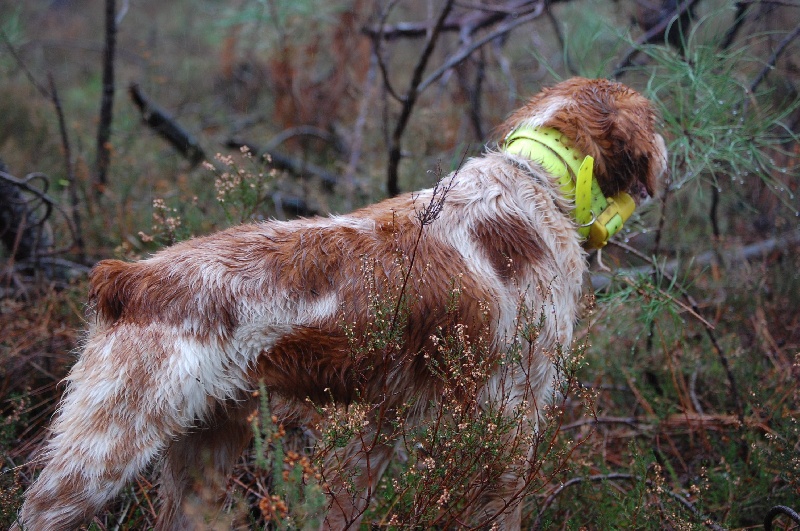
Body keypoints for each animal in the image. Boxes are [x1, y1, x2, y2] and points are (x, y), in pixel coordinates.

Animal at [20, 77, 668, 528]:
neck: (538, 183)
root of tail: (127, 278)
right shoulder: (512, 415)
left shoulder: (381, 420)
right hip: (103, 450)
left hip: (204, 455)